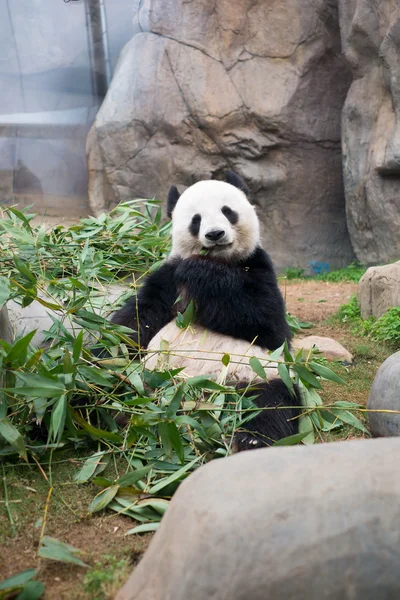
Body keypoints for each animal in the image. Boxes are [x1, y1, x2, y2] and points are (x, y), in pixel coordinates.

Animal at [111, 170, 302, 450]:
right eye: (196, 219)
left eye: (227, 211)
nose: (215, 234)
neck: (218, 260)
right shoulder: (167, 280)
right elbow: (135, 322)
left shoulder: (257, 266)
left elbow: (266, 321)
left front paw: (199, 273)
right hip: (138, 379)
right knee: (111, 388)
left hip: (258, 375)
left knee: (271, 405)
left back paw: (250, 440)